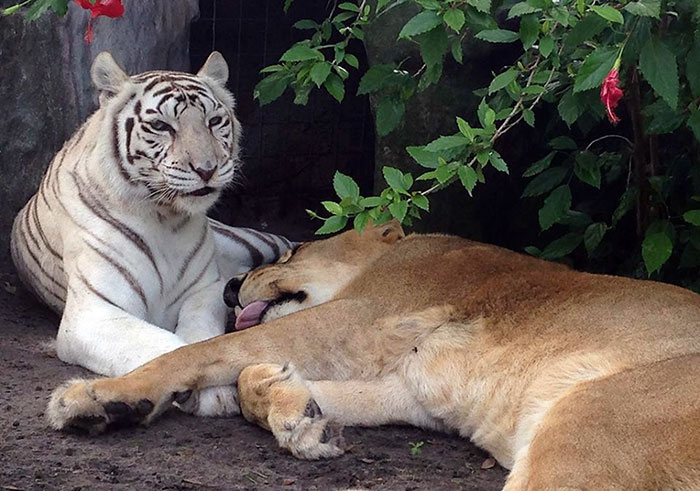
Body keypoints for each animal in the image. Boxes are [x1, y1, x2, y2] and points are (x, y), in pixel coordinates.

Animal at [10, 51, 292, 416]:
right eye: (161, 126)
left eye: (214, 121)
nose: (207, 169)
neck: (165, 219)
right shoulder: (94, 313)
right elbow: (167, 346)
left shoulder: (204, 291)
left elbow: (202, 336)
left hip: (254, 243)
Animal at [46, 221, 700, 489]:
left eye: (292, 251)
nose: (231, 288)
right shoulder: (407, 387)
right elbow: (253, 376)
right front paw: (302, 420)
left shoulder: (356, 317)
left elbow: (214, 349)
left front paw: (98, 399)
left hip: (587, 428)